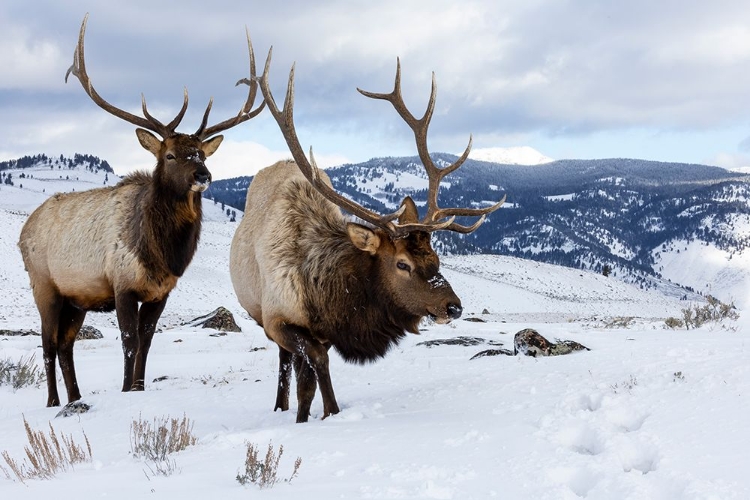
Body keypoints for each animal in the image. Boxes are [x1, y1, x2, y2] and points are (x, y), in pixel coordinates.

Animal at [17, 14, 266, 406]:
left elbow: (147, 342)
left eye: (203, 153)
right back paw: (54, 401)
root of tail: (23, 229)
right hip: (44, 285)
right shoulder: (122, 285)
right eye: (170, 155)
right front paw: (124, 390)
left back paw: (75, 397)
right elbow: (129, 342)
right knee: (47, 343)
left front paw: (138, 387)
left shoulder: (161, 291)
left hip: (77, 299)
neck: (162, 253)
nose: (203, 175)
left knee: (66, 345)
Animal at [229, 49, 508, 422]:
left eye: (436, 258)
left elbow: (310, 383)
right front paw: (326, 414)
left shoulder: (328, 331)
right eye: (402, 264)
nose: (454, 306)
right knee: (285, 361)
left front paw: (312, 416)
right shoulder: (278, 320)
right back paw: (279, 406)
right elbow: (314, 366)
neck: (324, 295)